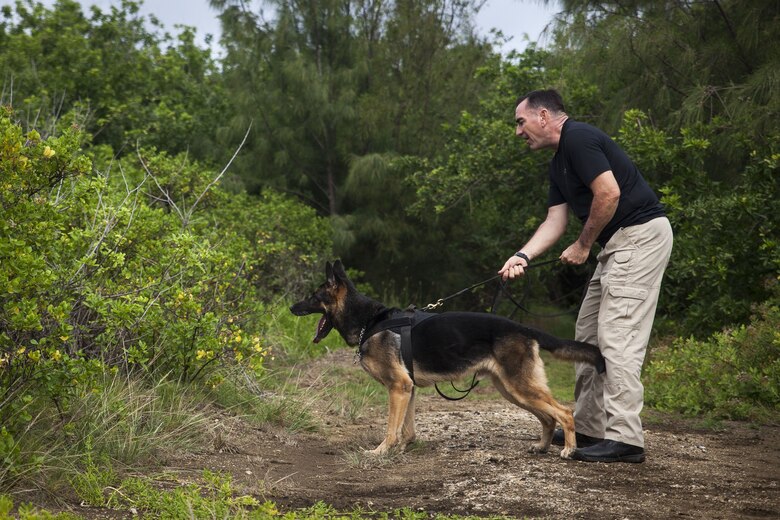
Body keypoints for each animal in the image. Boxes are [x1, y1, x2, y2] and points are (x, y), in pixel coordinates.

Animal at [290, 262, 608, 458]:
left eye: (314, 296)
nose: (291, 307)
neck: (370, 321)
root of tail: (523, 328)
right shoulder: (408, 389)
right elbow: (406, 428)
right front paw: (403, 448)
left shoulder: (398, 388)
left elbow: (391, 428)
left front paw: (381, 451)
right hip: (512, 390)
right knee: (547, 417)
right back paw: (542, 446)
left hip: (520, 387)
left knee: (564, 412)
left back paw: (569, 449)